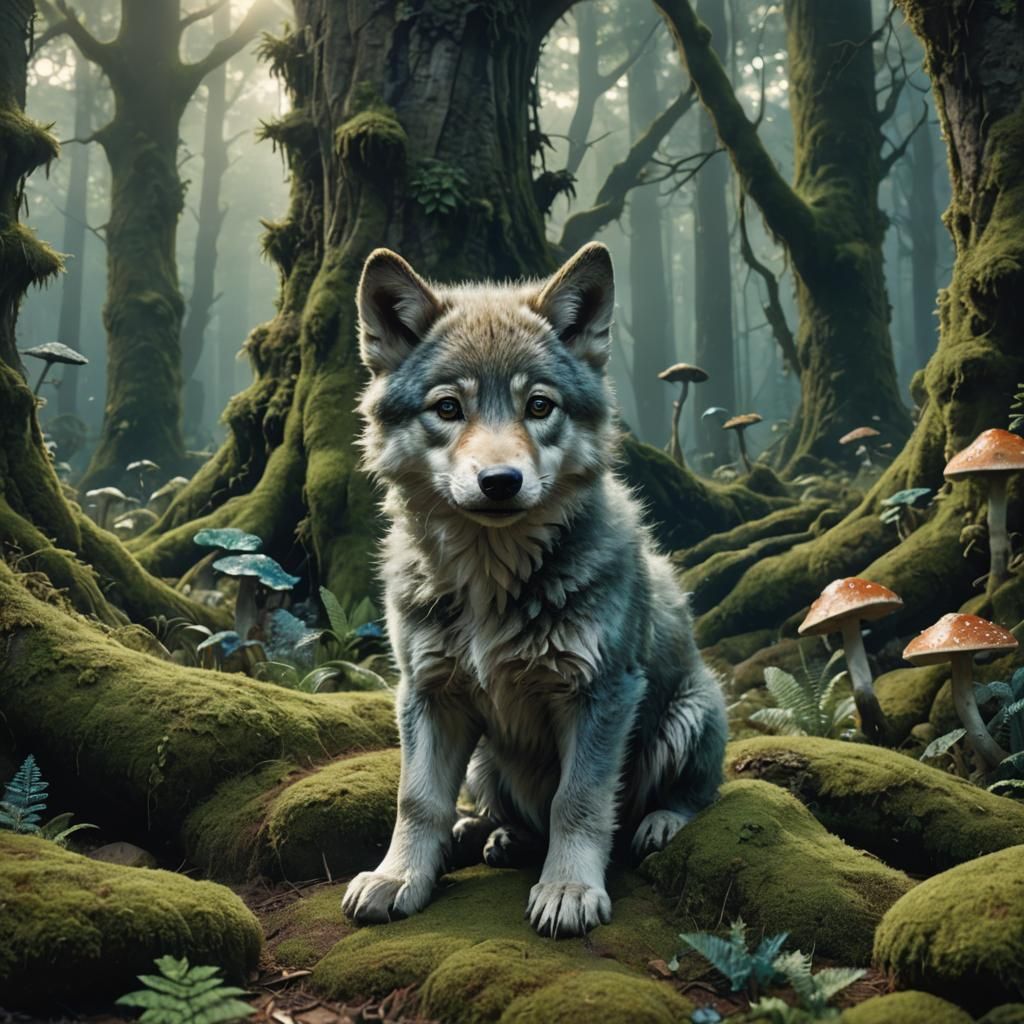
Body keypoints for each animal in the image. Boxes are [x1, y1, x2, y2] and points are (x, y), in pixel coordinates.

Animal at [342, 242, 727, 937]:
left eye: (539, 406)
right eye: (448, 408)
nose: (500, 480)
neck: (491, 582)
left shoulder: (602, 693)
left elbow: (579, 801)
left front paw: (569, 889)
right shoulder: (427, 694)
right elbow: (417, 800)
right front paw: (398, 877)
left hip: (690, 710)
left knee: (695, 795)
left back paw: (659, 824)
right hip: (483, 760)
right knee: (510, 815)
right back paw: (489, 835)